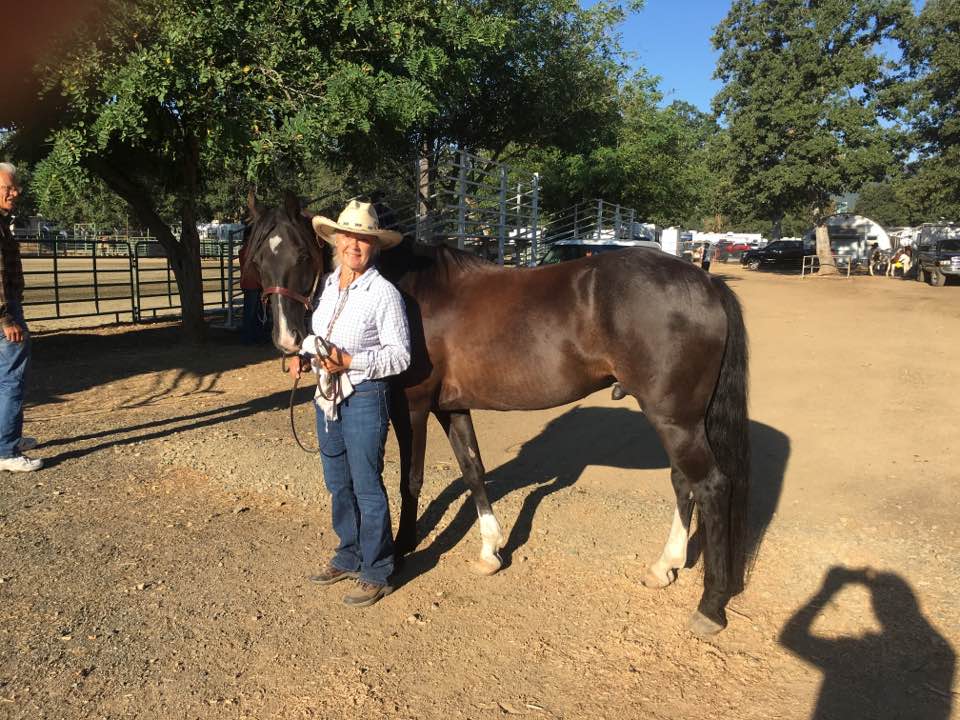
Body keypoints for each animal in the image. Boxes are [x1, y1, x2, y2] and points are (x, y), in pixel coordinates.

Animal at [246, 194, 752, 640]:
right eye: (258, 256)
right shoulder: (451, 406)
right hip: (677, 418)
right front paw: (491, 550)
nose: (287, 340)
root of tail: (706, 282)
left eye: (300, 253)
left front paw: (404, 547)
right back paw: (665, 566)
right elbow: (473, 469)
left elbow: (411, 478)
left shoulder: (412, 404)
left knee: (710, 485)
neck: (411, 293)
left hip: (675, 418)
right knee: (683, 481)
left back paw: (710, 606)